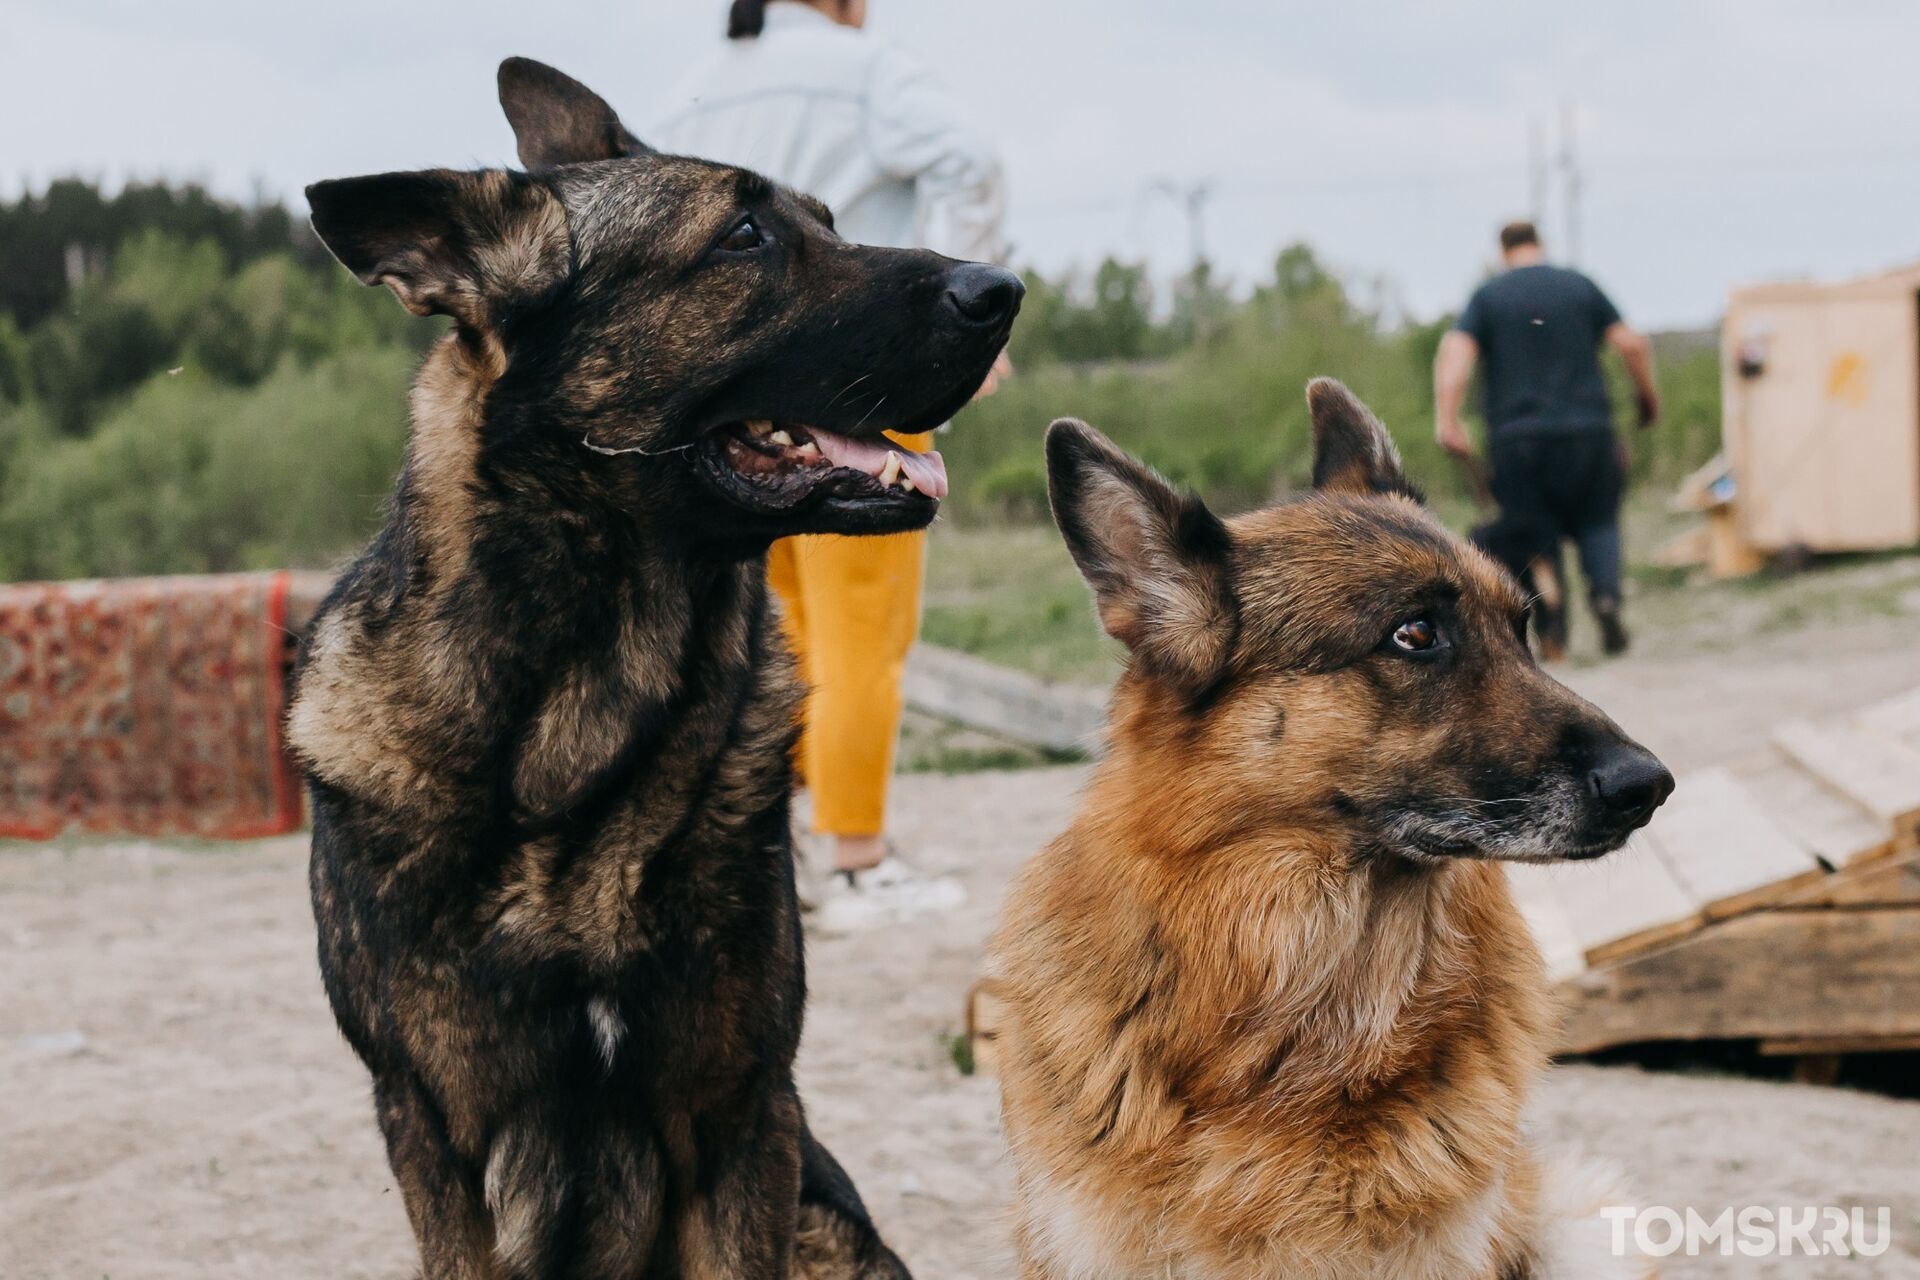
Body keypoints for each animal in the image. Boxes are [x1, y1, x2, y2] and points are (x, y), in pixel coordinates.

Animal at [286, 59, 1021, 1280]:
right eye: (743, 236)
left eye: (829, 219)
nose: (1005, 288)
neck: (574, 729)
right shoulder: (437, 1137)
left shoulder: (740, 1116)